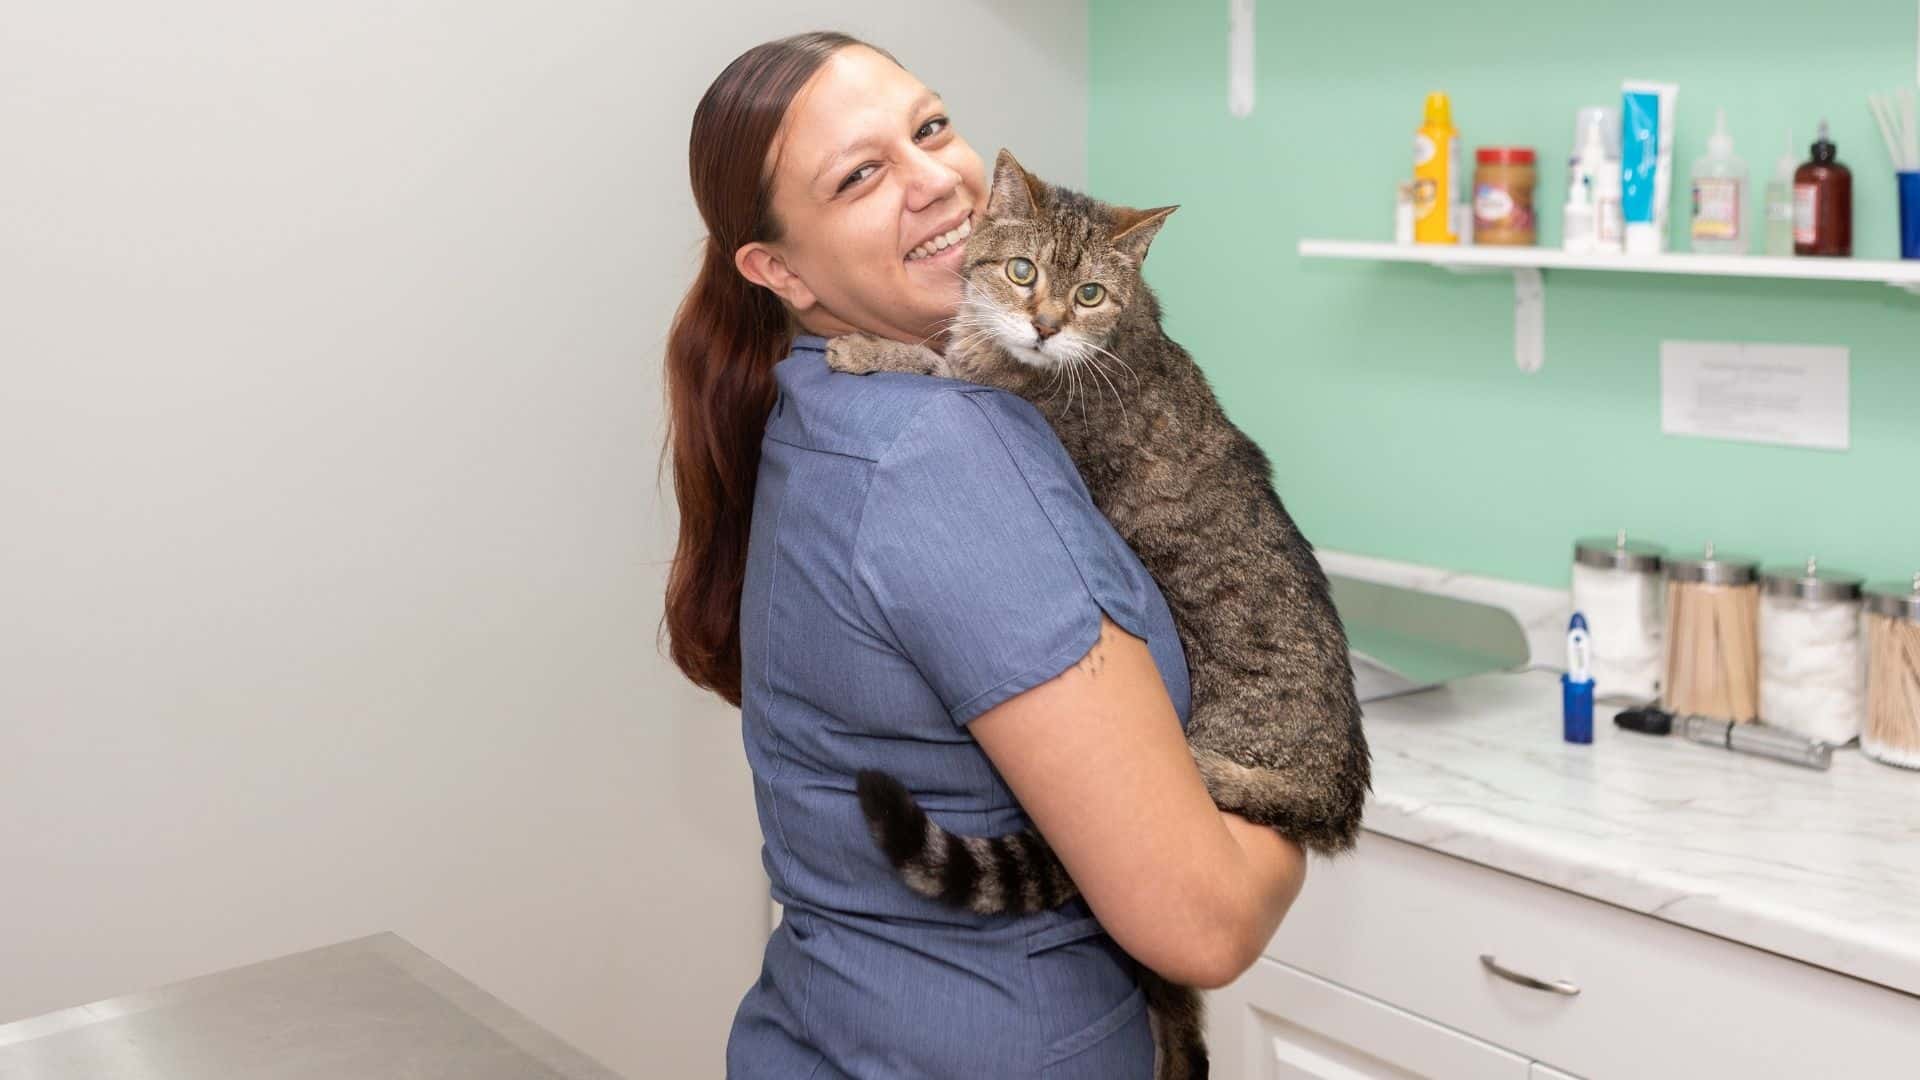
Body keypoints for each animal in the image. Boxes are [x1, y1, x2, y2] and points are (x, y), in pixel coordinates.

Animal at [825, 148, 1367, 1076]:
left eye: (1086, 295)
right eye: (1022, 271)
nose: (1044, 326)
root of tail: (1335, 792)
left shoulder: (1003, 398)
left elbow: (928, 363)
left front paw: (866, 343)